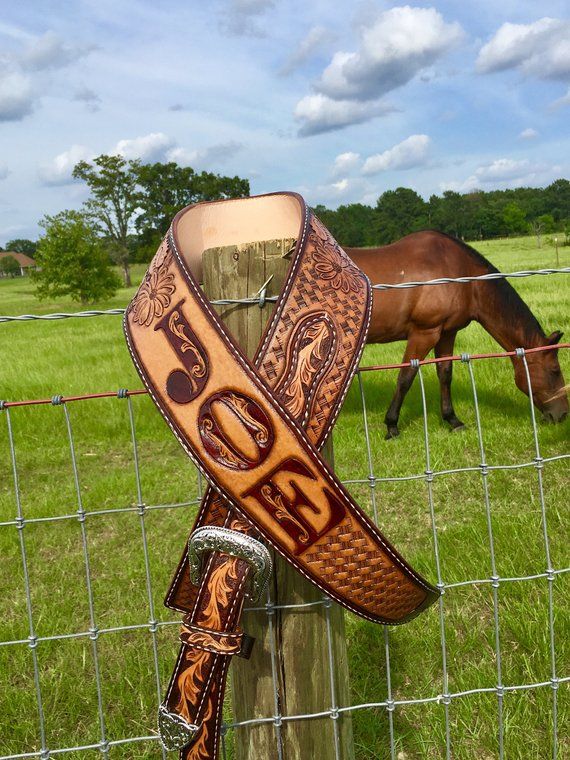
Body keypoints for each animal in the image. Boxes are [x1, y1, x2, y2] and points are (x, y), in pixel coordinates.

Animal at [344, 229, 564, 436]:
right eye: (555, 370)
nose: (561, 415)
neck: (461, 276)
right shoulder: (424, 333)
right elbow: (406, 377)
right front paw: (391, 425)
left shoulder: (447, 333)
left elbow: (445, 374)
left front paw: (452, 420)